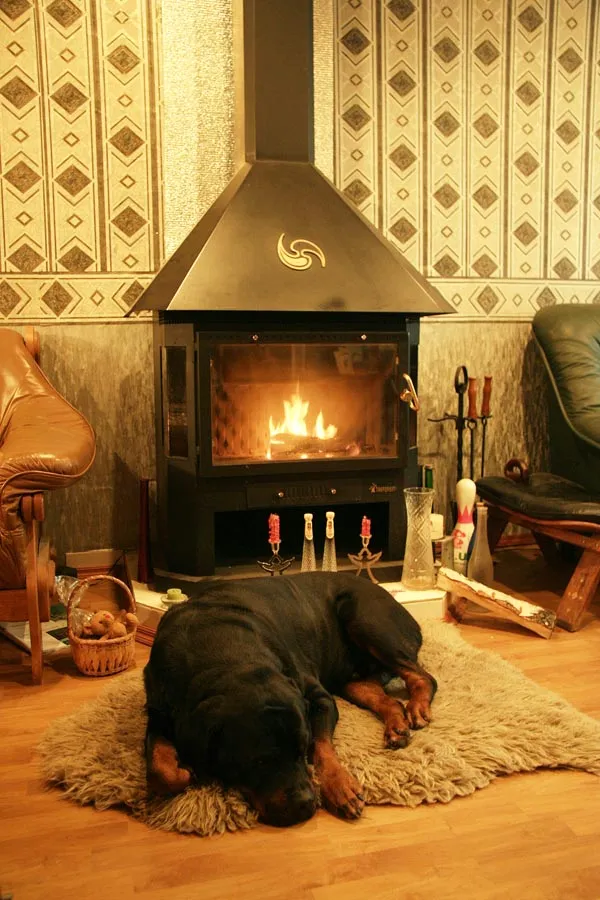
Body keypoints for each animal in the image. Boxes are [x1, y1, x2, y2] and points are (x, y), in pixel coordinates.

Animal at [143, 571, 437, 827]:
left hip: (364, 617)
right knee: (382, 695)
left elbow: (322, 746)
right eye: (258, 761)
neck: (224, 655)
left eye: (301, 749)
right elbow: (160, 769)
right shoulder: (160, 709)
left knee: (424, 677)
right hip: (351, 680)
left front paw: (340, 786)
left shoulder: (319, 697)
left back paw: (417, 707)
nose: (305, 804)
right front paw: (183, 770)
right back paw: (397, 726)